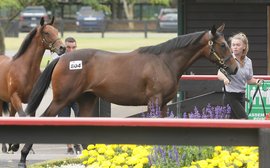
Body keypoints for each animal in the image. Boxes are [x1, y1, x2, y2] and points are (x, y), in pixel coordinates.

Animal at [0, 17, 65, 154]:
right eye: (46, 32)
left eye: (56, 31)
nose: (62, 48)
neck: (25, 69)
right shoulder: (15, 97)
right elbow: (23, 116)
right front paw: (16, 145)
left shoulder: (31, 100)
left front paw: (17, 145)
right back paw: (4, 147)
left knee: (12, 116)